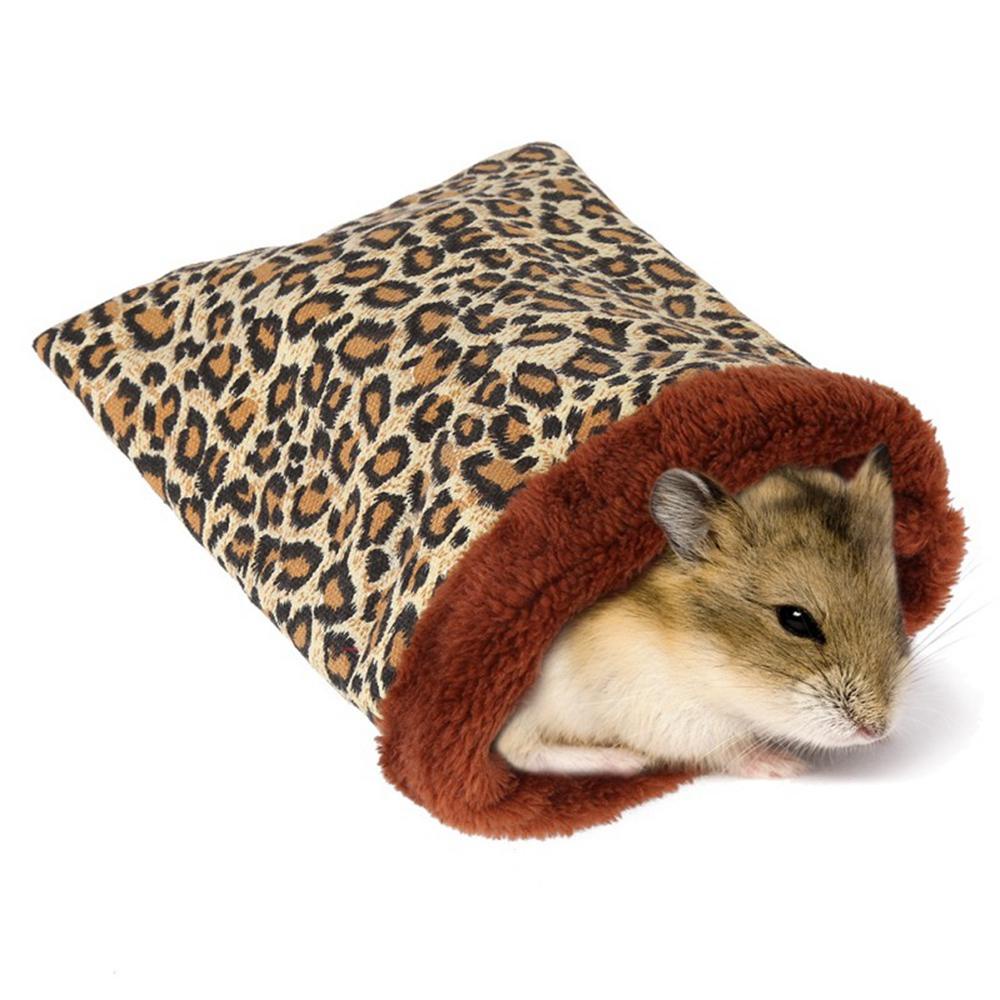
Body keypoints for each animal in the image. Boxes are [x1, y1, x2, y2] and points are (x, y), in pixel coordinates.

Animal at [494, 445, 910, 778]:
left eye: (897, 612)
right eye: (796, 620)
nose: (878, 731)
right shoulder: (660, 709)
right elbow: (729, 746)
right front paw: (787, 766)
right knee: (516, 747)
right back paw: (626, 762)